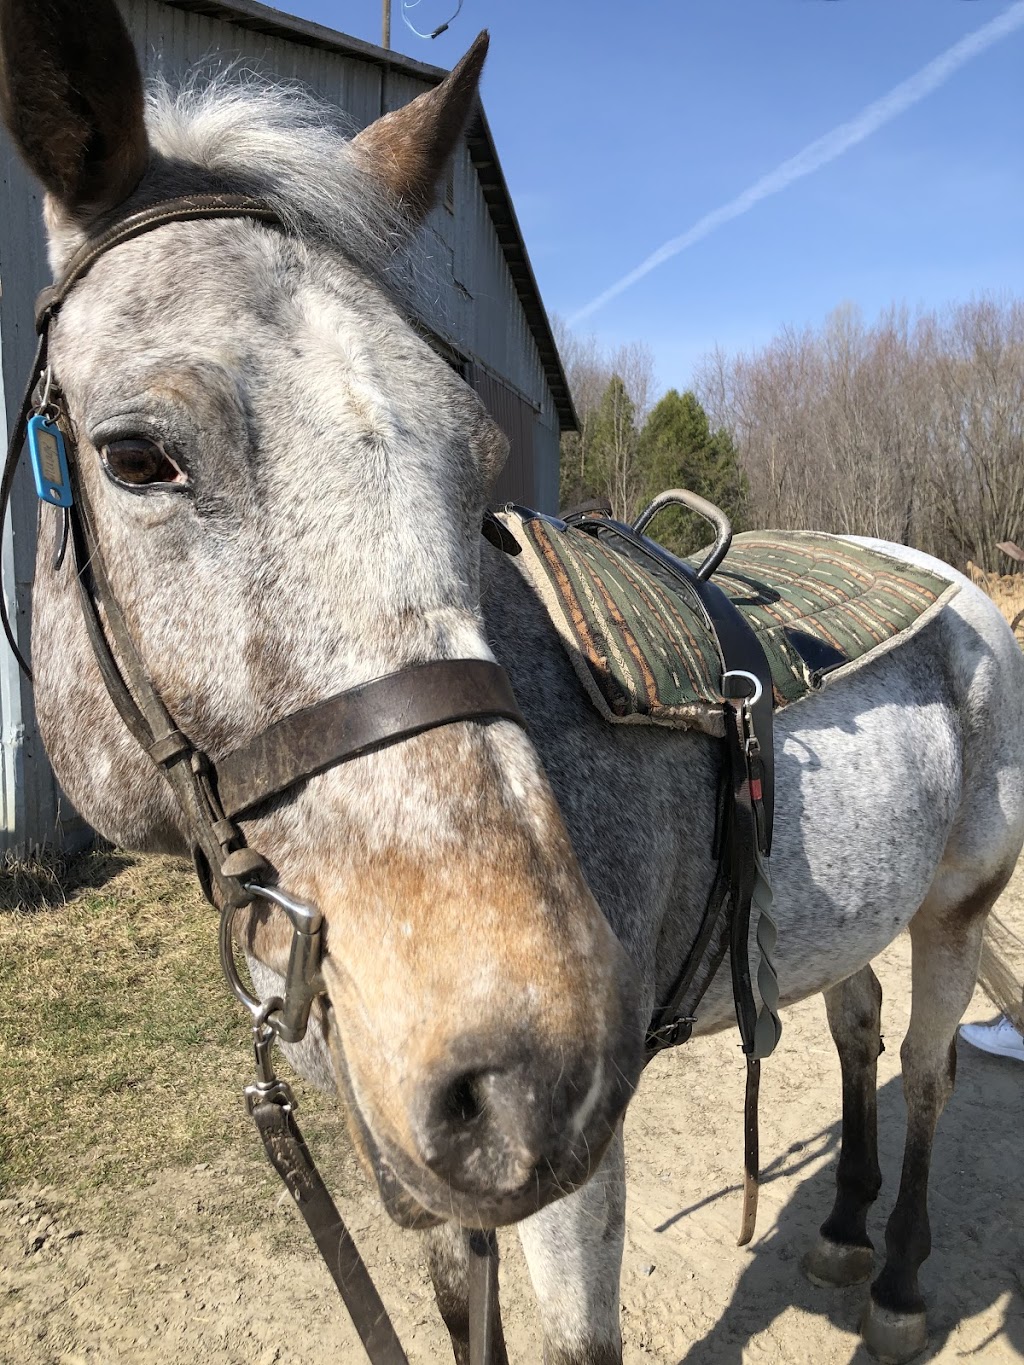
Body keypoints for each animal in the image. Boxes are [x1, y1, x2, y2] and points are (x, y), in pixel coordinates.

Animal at [4, 5, 1021, 1359]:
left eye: (471, 444)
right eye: (133, 456)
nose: (525, 1071)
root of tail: (954, 582)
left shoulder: (570, 1170)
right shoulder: (420, 1155)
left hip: (953, 908)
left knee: (925, 1064)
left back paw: (900, 1277)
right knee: (855, 1029)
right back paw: (847, 1228)